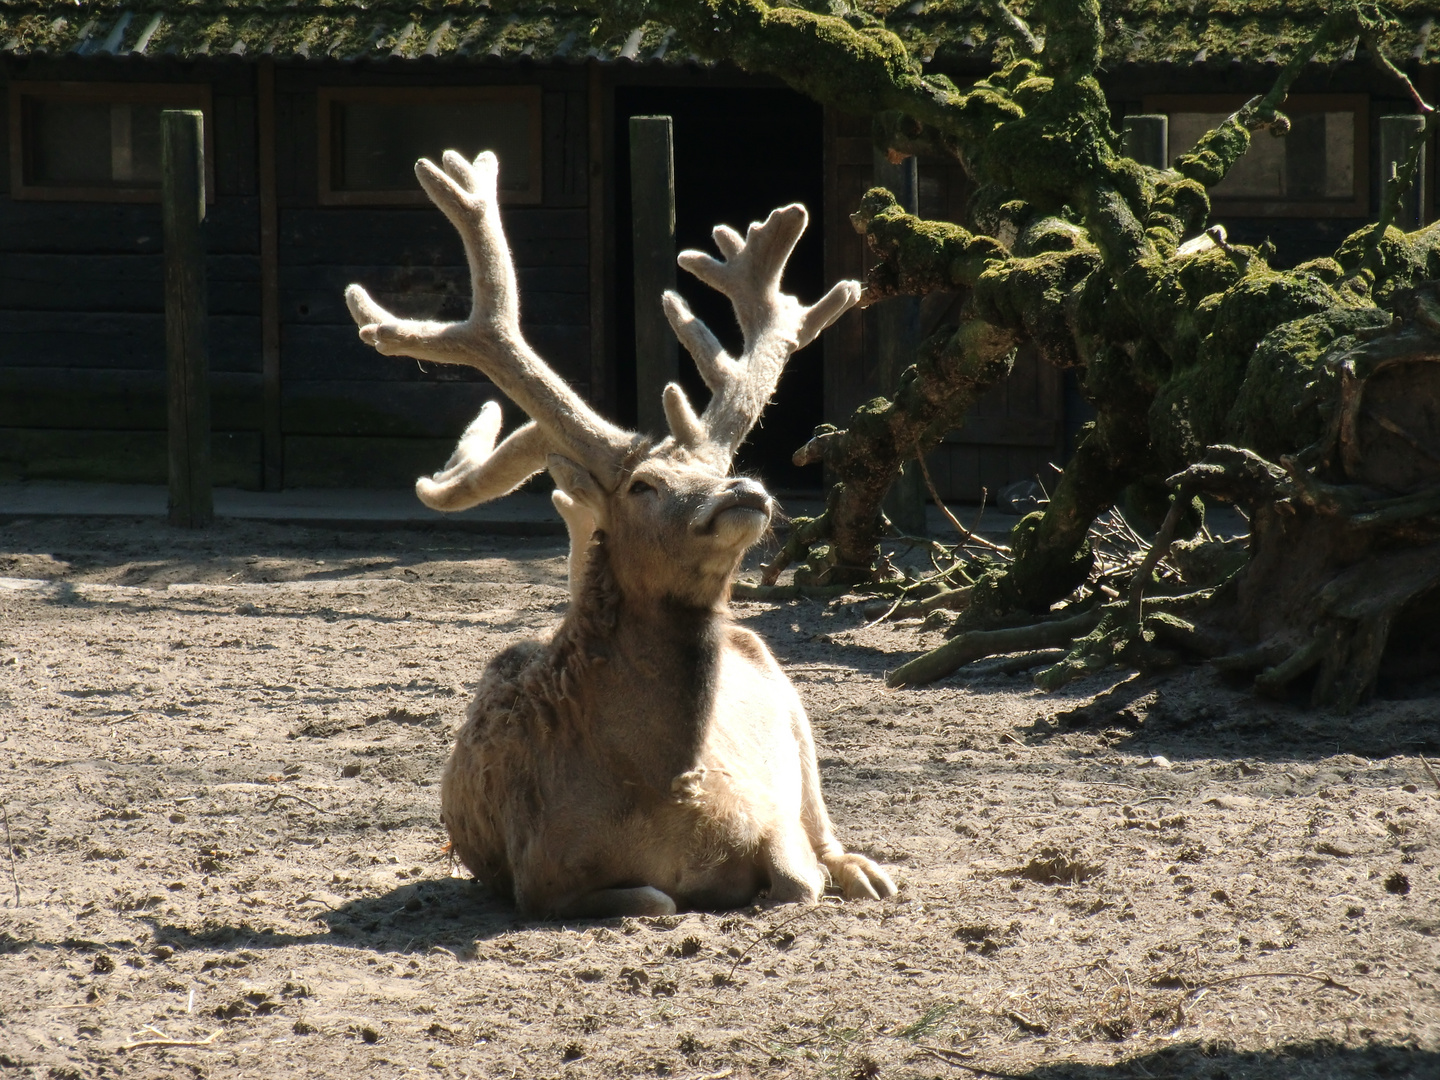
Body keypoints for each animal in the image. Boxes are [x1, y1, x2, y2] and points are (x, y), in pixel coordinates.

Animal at [344, 148, 892, 915]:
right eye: (643, 485)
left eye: (724, 464)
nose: (747, 491)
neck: (663, 791)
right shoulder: (539, 875)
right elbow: (657, 899)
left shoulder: (773, 818)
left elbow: (797, 878)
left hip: (794, 708)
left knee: (826, 823)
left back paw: (868, 872)